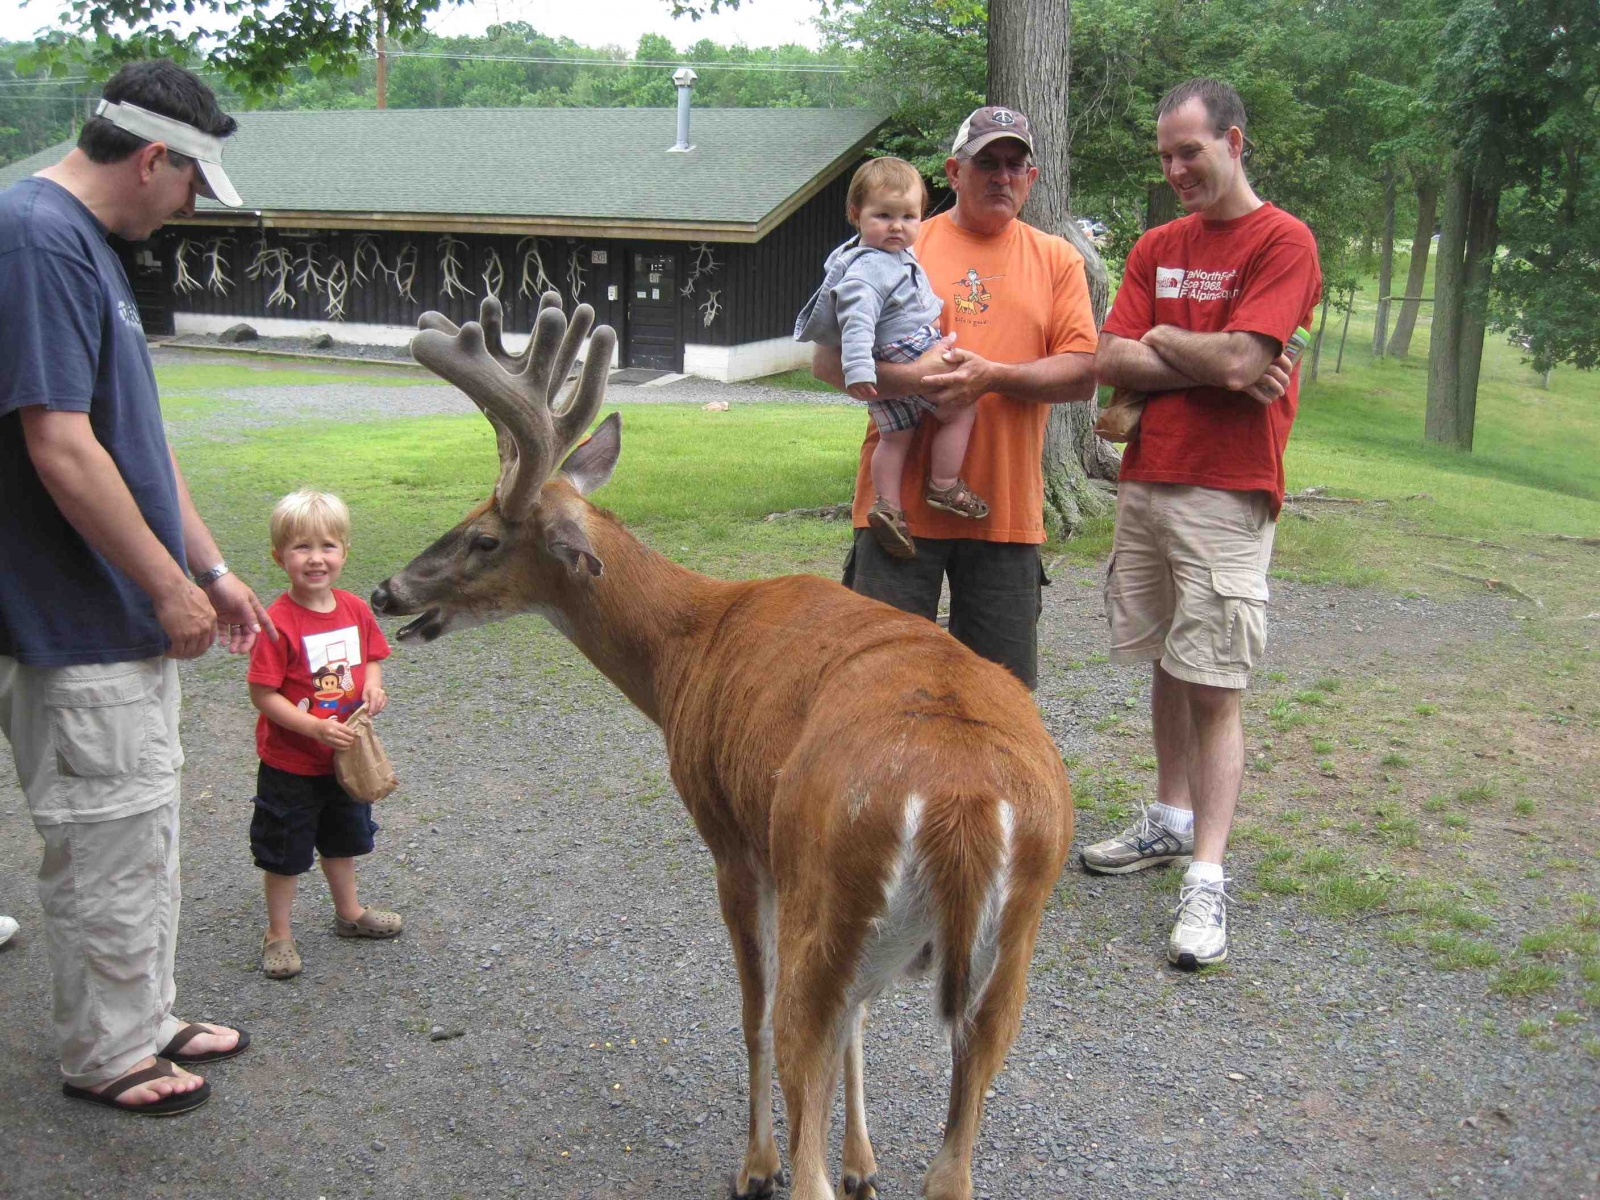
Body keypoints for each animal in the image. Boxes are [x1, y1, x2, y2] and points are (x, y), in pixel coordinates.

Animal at [374, 294, 1075, 1200]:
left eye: (485, 537)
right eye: (464, 515)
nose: (388, 589)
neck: (685, 653)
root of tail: (963, 810)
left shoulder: (733, 840)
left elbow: (749, 1013)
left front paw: (755, 1164)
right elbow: (861, 1024)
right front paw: (865, 1163)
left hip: (828, 889)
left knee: (795, 1065)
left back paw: (784, 1167)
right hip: (1004, 958)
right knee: (952, 1160)